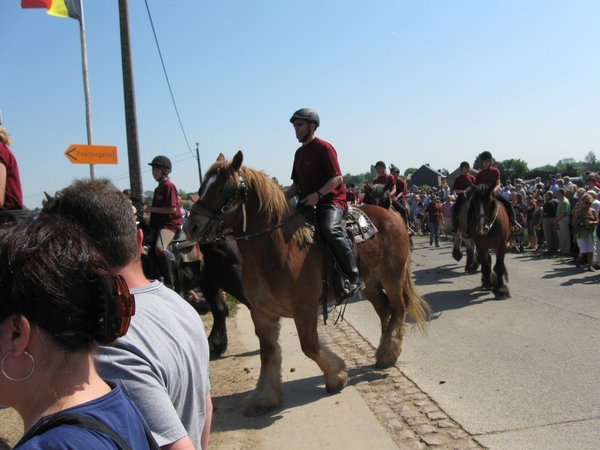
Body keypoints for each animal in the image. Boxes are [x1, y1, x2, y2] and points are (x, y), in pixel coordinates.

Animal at [185, 153, 428, 416]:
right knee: (386, 311)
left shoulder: (305, 309)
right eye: (202, 187)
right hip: (371, 283)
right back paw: (385, 351)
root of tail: (391, 216)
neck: (279, 249)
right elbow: (268, 353)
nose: (191, 227)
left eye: (224, 188)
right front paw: (265, 396)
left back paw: (389, 352)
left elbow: (310, 346)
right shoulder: (262, 313)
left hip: (391, 277)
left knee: (399, 308)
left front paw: (337, 375)